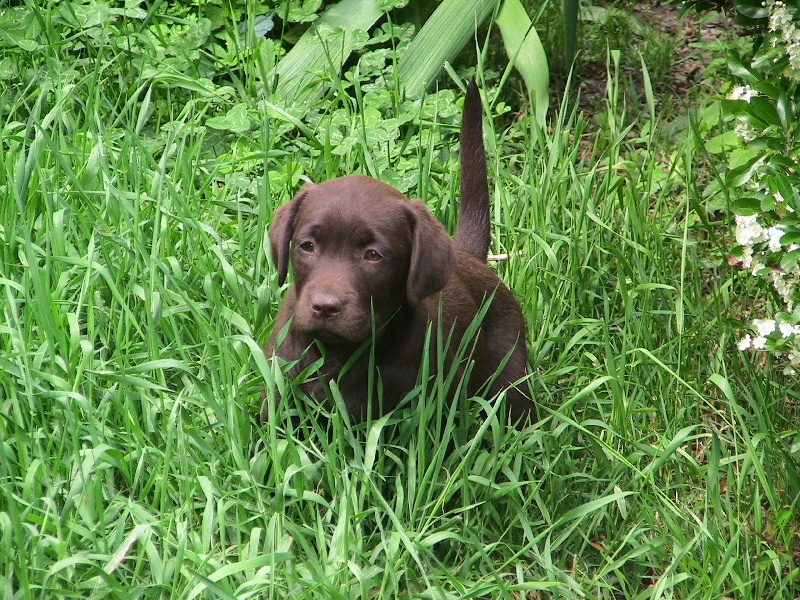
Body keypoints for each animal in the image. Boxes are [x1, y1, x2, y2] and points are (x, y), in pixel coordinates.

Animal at [266, 79, 536, 424]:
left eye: (373, 255)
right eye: (307, 246)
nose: (325, 307)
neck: (342, 354)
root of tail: (469, 256)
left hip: (510, 375)